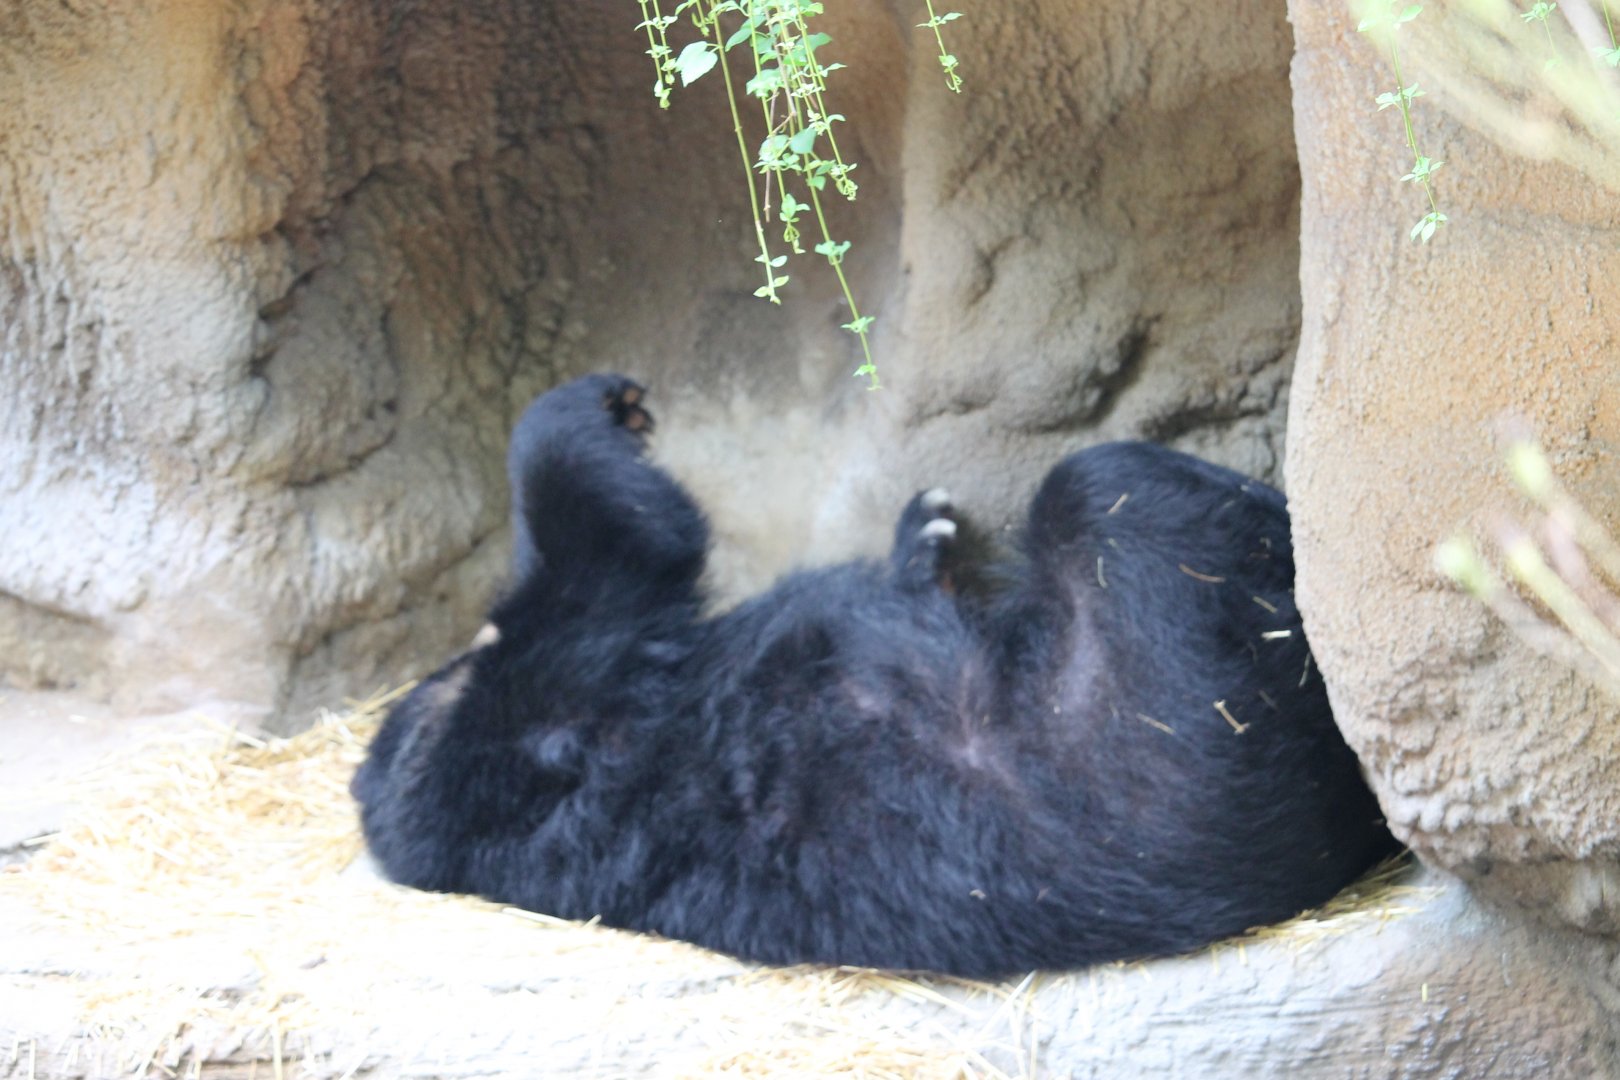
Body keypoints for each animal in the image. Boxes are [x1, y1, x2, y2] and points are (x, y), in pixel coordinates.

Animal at [351, 372, 1396, 979]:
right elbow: (611, 555)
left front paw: (923, 533)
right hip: (1158, 697)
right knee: (1117, 490)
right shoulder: (540, 708)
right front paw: (604, 405)